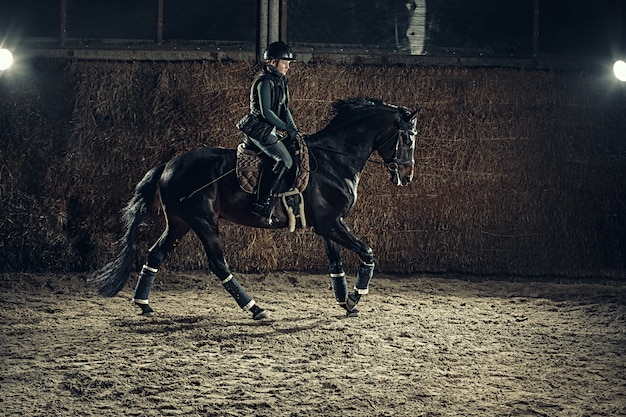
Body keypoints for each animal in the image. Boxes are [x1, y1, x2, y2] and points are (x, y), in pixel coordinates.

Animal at [88, 97, 416, 318]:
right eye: (406, 137)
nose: (407, 175)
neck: (335, 159)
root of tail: (169, 164)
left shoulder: (328, 225)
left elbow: (336, 265)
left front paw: (346, 302)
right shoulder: (332, 223)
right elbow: (367, 252)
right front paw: (357, 297)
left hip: (180, 222)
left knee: (156, 253)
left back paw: (143, 303)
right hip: (204, 222)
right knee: (218, 264)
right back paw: (255, 308)